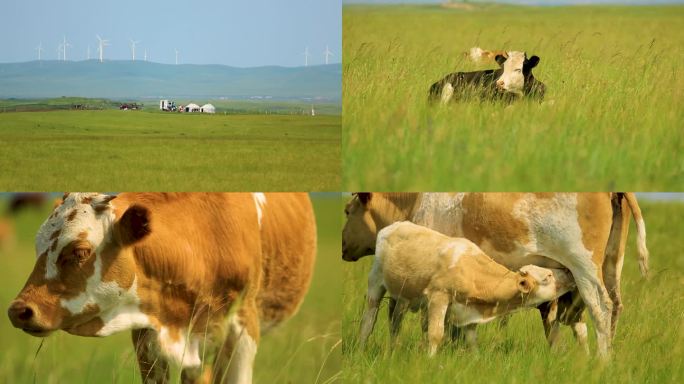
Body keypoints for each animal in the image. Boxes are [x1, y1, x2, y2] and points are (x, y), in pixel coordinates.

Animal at [360, 220, 576, 356]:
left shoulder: (469, 312)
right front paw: (430, 361)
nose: (568, 272)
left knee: (395, 322)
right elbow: (436, 334)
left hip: (403, 296)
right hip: (375, 281)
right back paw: (361, 346)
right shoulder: (438, 297)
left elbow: (472, 341)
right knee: (369, 320)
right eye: (547, 277)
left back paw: (393, 351)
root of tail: (394, 225)